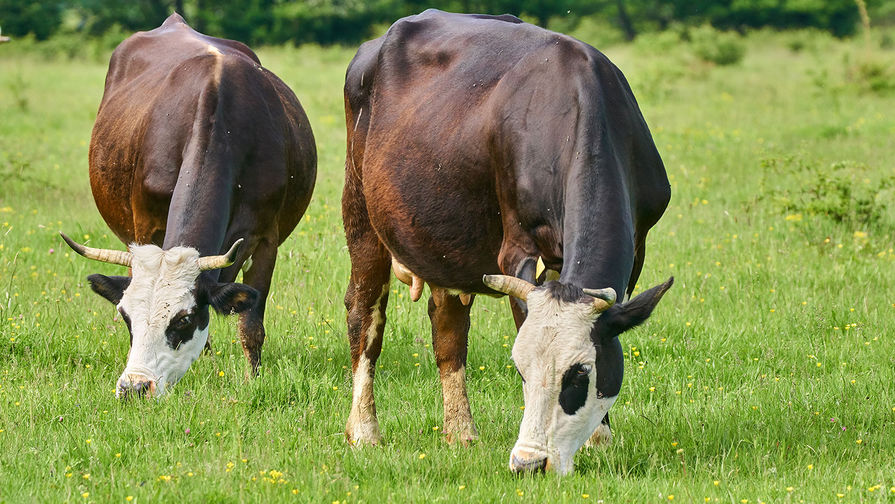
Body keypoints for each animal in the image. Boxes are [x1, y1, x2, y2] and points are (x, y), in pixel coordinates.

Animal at [63, 12, 316, 398]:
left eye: (182, 320)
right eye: (126, 318)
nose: (135, 387)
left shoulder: (266, 239)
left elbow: (251, 326)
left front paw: (252, 380)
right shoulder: (145, 225)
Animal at [342, 9, 672, 474]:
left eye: (580, 373)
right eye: (520, 369)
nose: (528, 464)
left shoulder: (637, 245)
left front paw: (601, 438)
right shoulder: (518, 248)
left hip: (442, 237)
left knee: (448, 329)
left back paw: (461, 432)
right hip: (360, 209)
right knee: (365, 314)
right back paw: (365, 430)